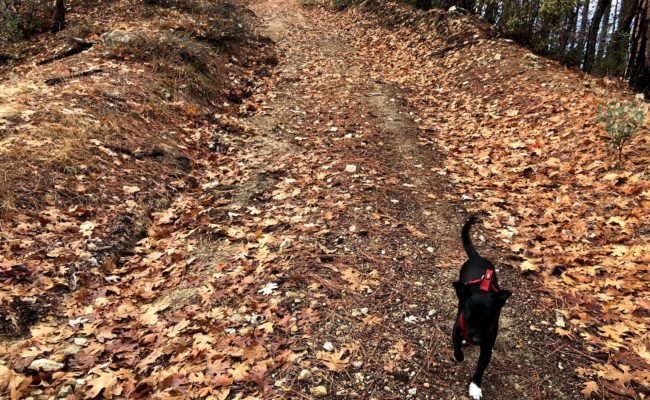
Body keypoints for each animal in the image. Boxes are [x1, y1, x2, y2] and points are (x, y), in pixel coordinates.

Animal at [454, 217, 508, 398]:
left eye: (489, 320)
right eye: (468, 318)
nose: (476, 340)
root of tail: (477, 257)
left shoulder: (487, 347)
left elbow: (480, 368)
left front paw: (475, 387)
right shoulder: (457, 327)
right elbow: (456, 346)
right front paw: (459, 356)